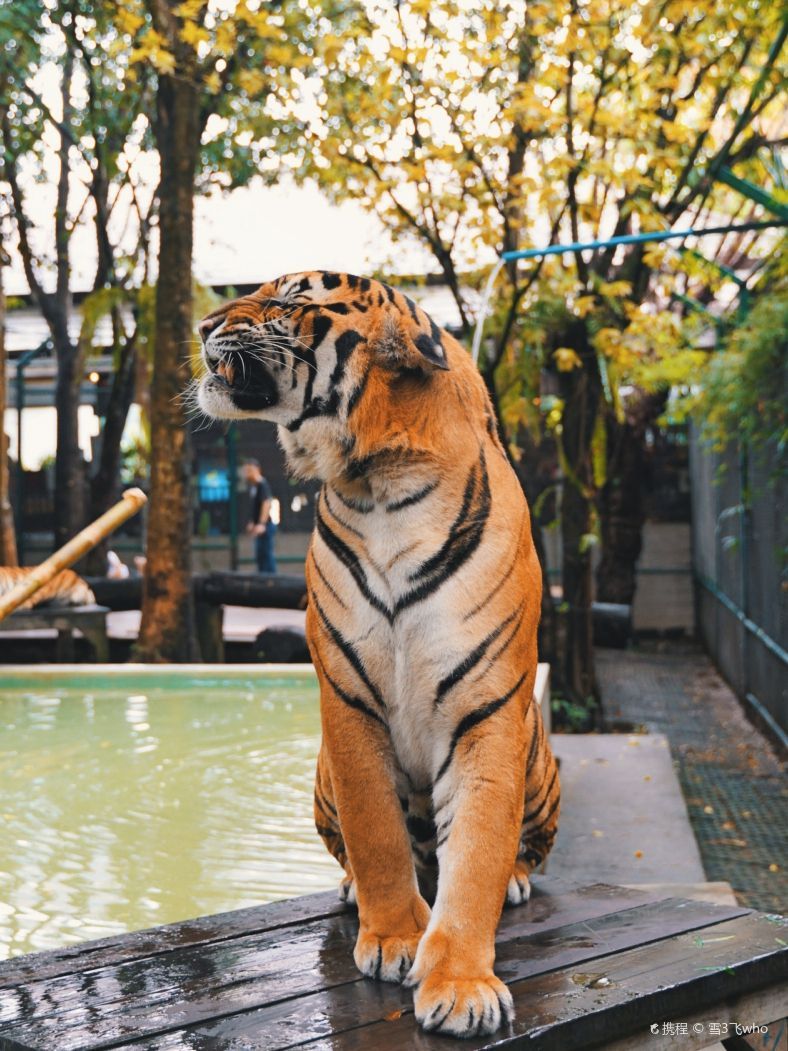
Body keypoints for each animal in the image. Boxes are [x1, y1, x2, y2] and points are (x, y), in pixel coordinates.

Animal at [196, 271, 560, 1039]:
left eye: (286, 301)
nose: (203, 325)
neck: (382, 484)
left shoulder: (486, 707)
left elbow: (478, 850)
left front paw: (461, 985)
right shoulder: (348, 697)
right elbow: (377, 836)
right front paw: (394, 938)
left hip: (537, 755)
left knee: (517, 848)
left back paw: (516, 879)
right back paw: (349, 889)